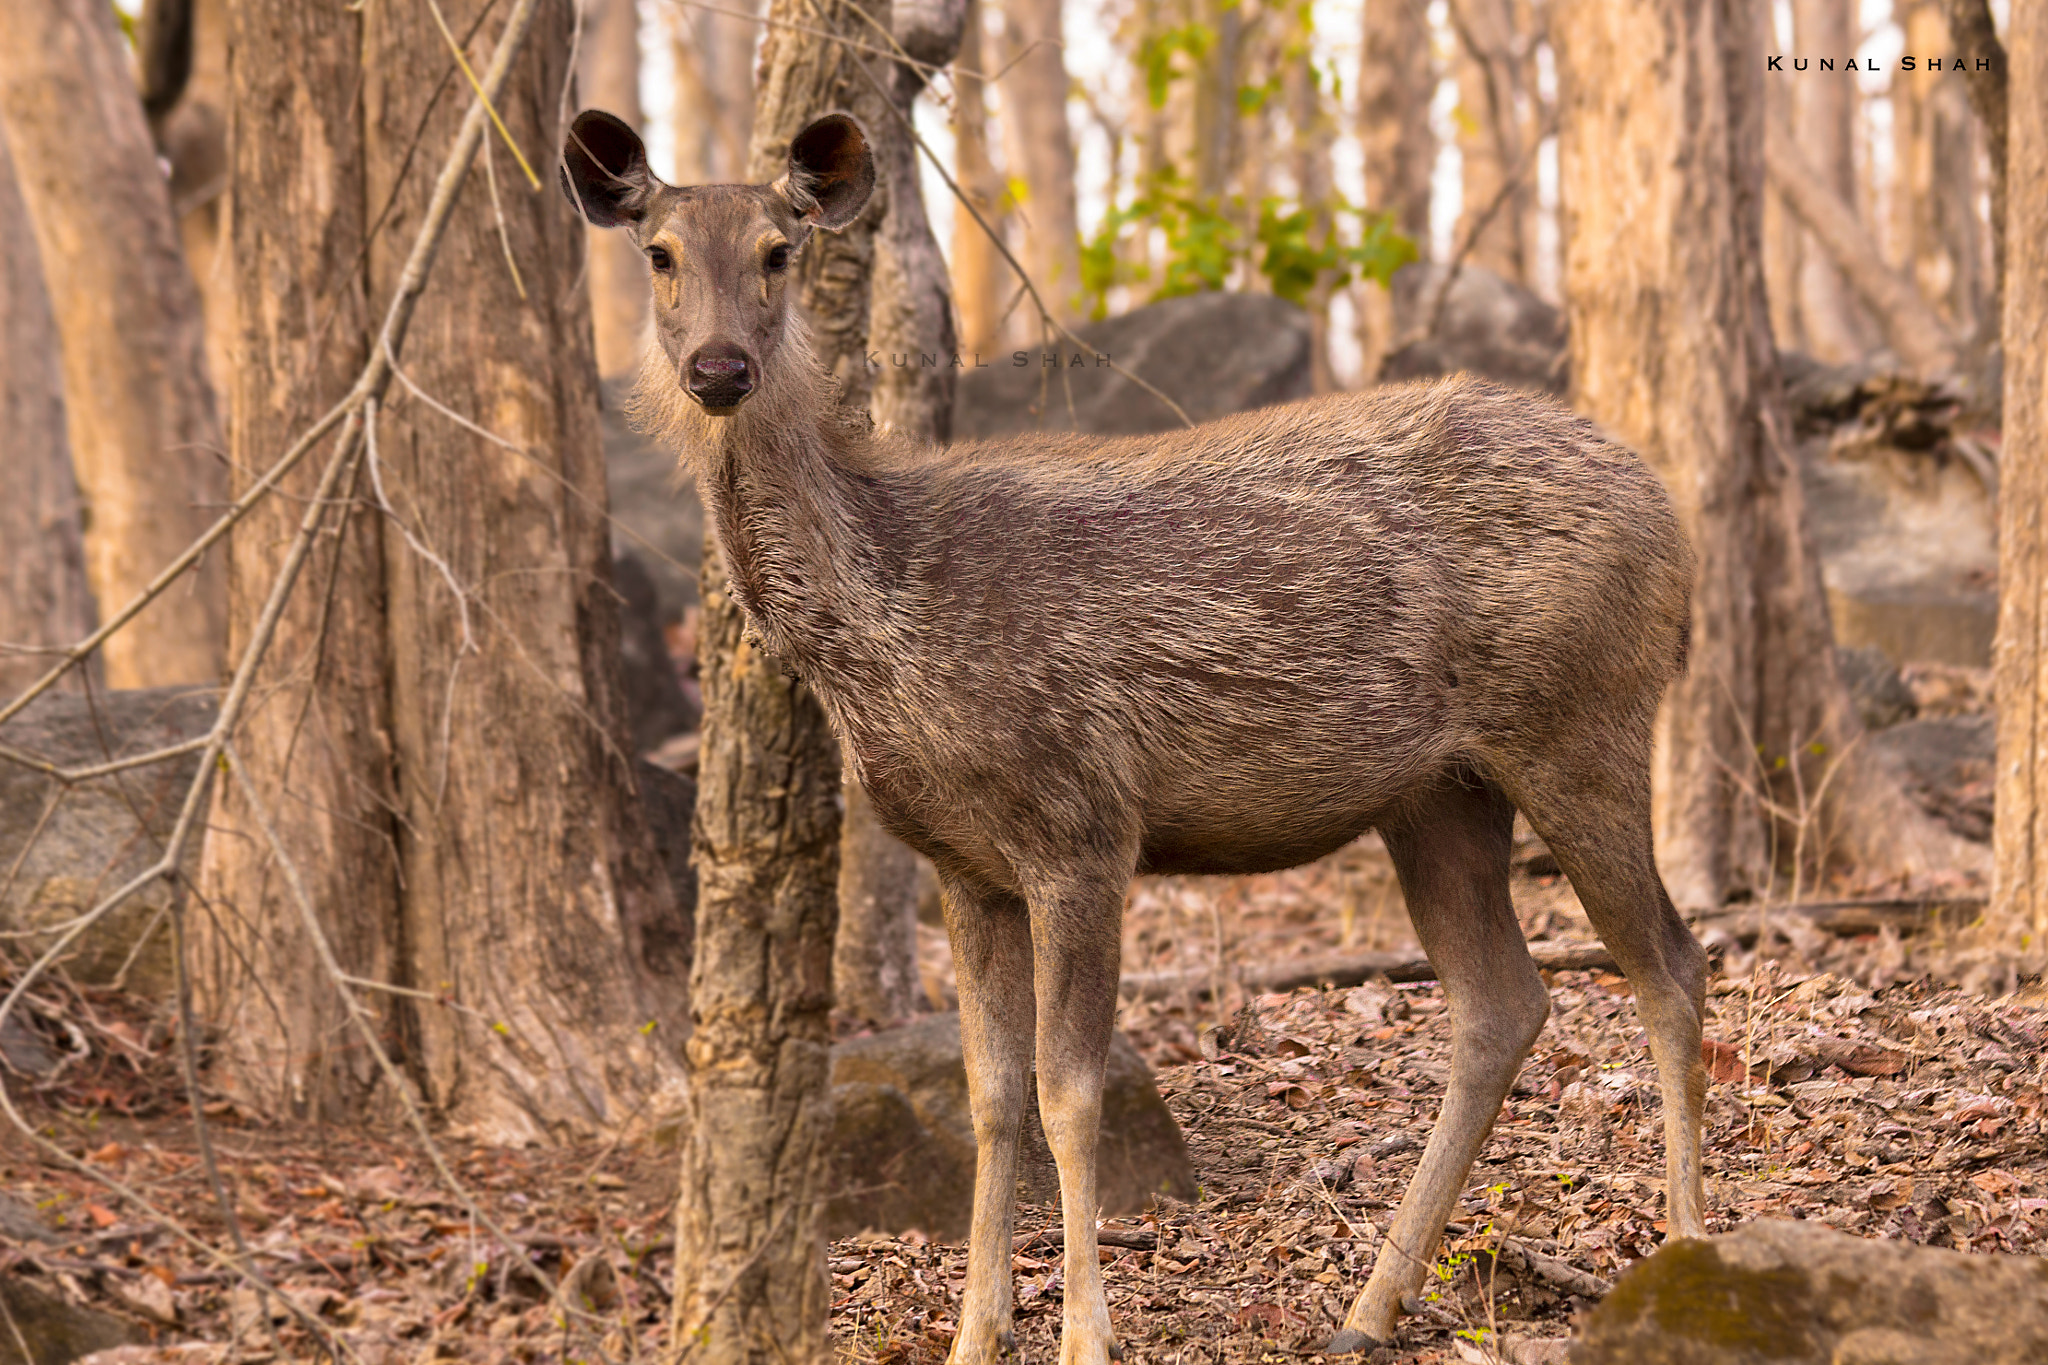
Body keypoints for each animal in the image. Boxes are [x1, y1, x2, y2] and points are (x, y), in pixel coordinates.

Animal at [561, 108, 1711, 1362]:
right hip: (1438, 792)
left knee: (1668, 965)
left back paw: (1689, 1249)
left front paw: (1081, 1335)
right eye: (659, 254)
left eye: (778, 250)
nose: (718, 369)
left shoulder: (1080, 824)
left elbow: (1069, 1096)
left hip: (1581, 721)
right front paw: (973, 1335)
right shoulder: (963, 865)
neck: (885, 629)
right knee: (1504, 1004)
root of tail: (1669, 517)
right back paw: (1367, 1309)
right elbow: (990, 1097)